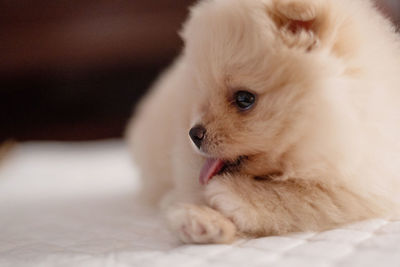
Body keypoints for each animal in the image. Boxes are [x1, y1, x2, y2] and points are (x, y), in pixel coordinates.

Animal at [126, 0, 400, 245]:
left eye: (244, 99)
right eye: (202, 95)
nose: (194, 134)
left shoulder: (369, 183)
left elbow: (305, 196)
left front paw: (232, 198)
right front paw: (199, 220)